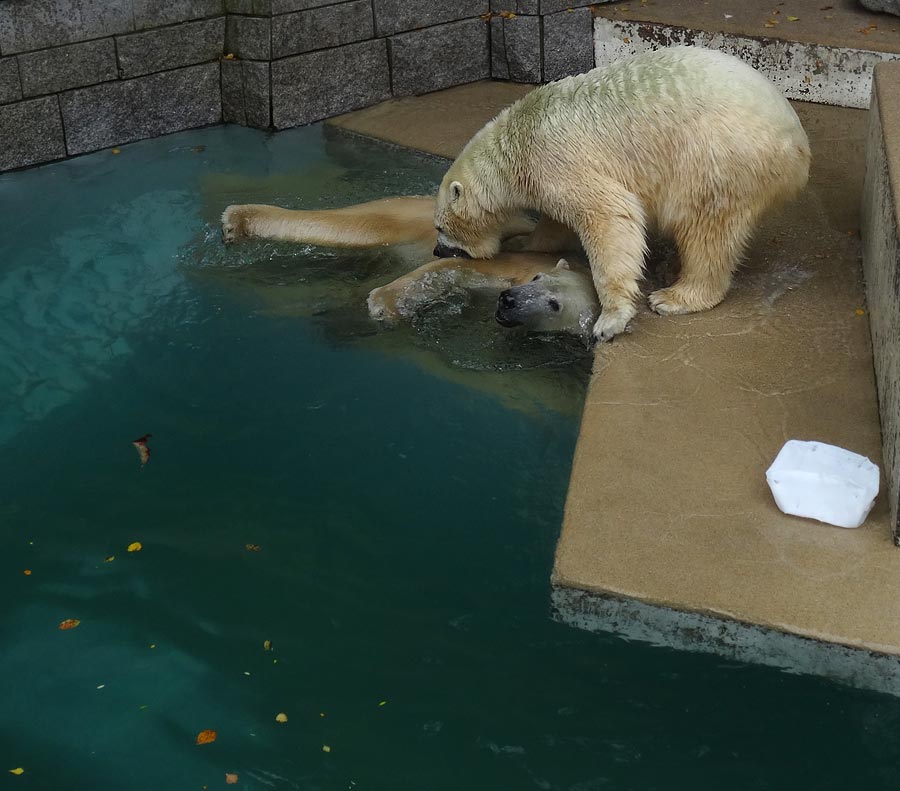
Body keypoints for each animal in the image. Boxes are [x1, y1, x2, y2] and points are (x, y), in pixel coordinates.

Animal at [432, 46, 812, 342]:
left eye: (440, 227)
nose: (437, 249)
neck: (516, 143)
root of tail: (798, 145)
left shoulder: (556, 158)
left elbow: (607, 213)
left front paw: (611, 318)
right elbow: (555, 222)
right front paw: (525, 242)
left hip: (716, 158)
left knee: (707, 229)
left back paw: (674, 297)